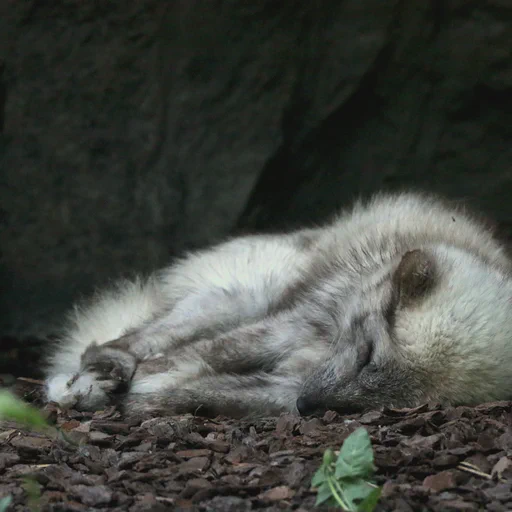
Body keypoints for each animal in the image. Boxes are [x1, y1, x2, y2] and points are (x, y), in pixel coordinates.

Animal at [43, 192, 512, 420]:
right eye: (366, 355)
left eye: (393, 406)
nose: (306, 407)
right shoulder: (296, 323)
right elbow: (209, 354)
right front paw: (150, 381)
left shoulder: (287, 385)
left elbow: (213, 389)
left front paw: (157, 400)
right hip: (246, 298)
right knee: (116, 342)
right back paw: (94, 378)